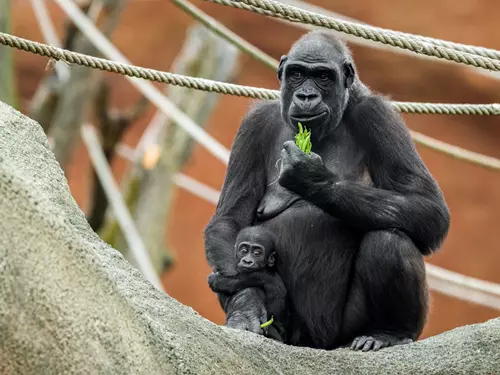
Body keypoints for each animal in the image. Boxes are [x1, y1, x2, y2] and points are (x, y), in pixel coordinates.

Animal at [203, 30, 450, 352]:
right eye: (297, 74)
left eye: (323, 76)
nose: (307, 96)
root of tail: (315, 344)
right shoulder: (254, 124)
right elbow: (230, 219)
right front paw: (246, 308)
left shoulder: (379, 115)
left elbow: (428, 209)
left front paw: (311, 178)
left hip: (341, 333)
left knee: (388, 240)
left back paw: (389, 332)